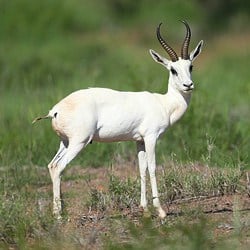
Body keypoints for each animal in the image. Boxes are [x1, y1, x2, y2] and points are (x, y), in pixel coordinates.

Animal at [32, 21, 203, 219]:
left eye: (191, 67)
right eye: (173, 70)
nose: (188, 85)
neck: (164, 104)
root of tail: (55, 110)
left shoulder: (139, 140)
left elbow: (142, 169)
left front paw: (145, 210)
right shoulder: (151, 137)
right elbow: (153, 168)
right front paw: (160, 211)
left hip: (65, 142)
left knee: (52, 165)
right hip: (79, 142)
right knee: (59, 167)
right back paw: (58, 216)